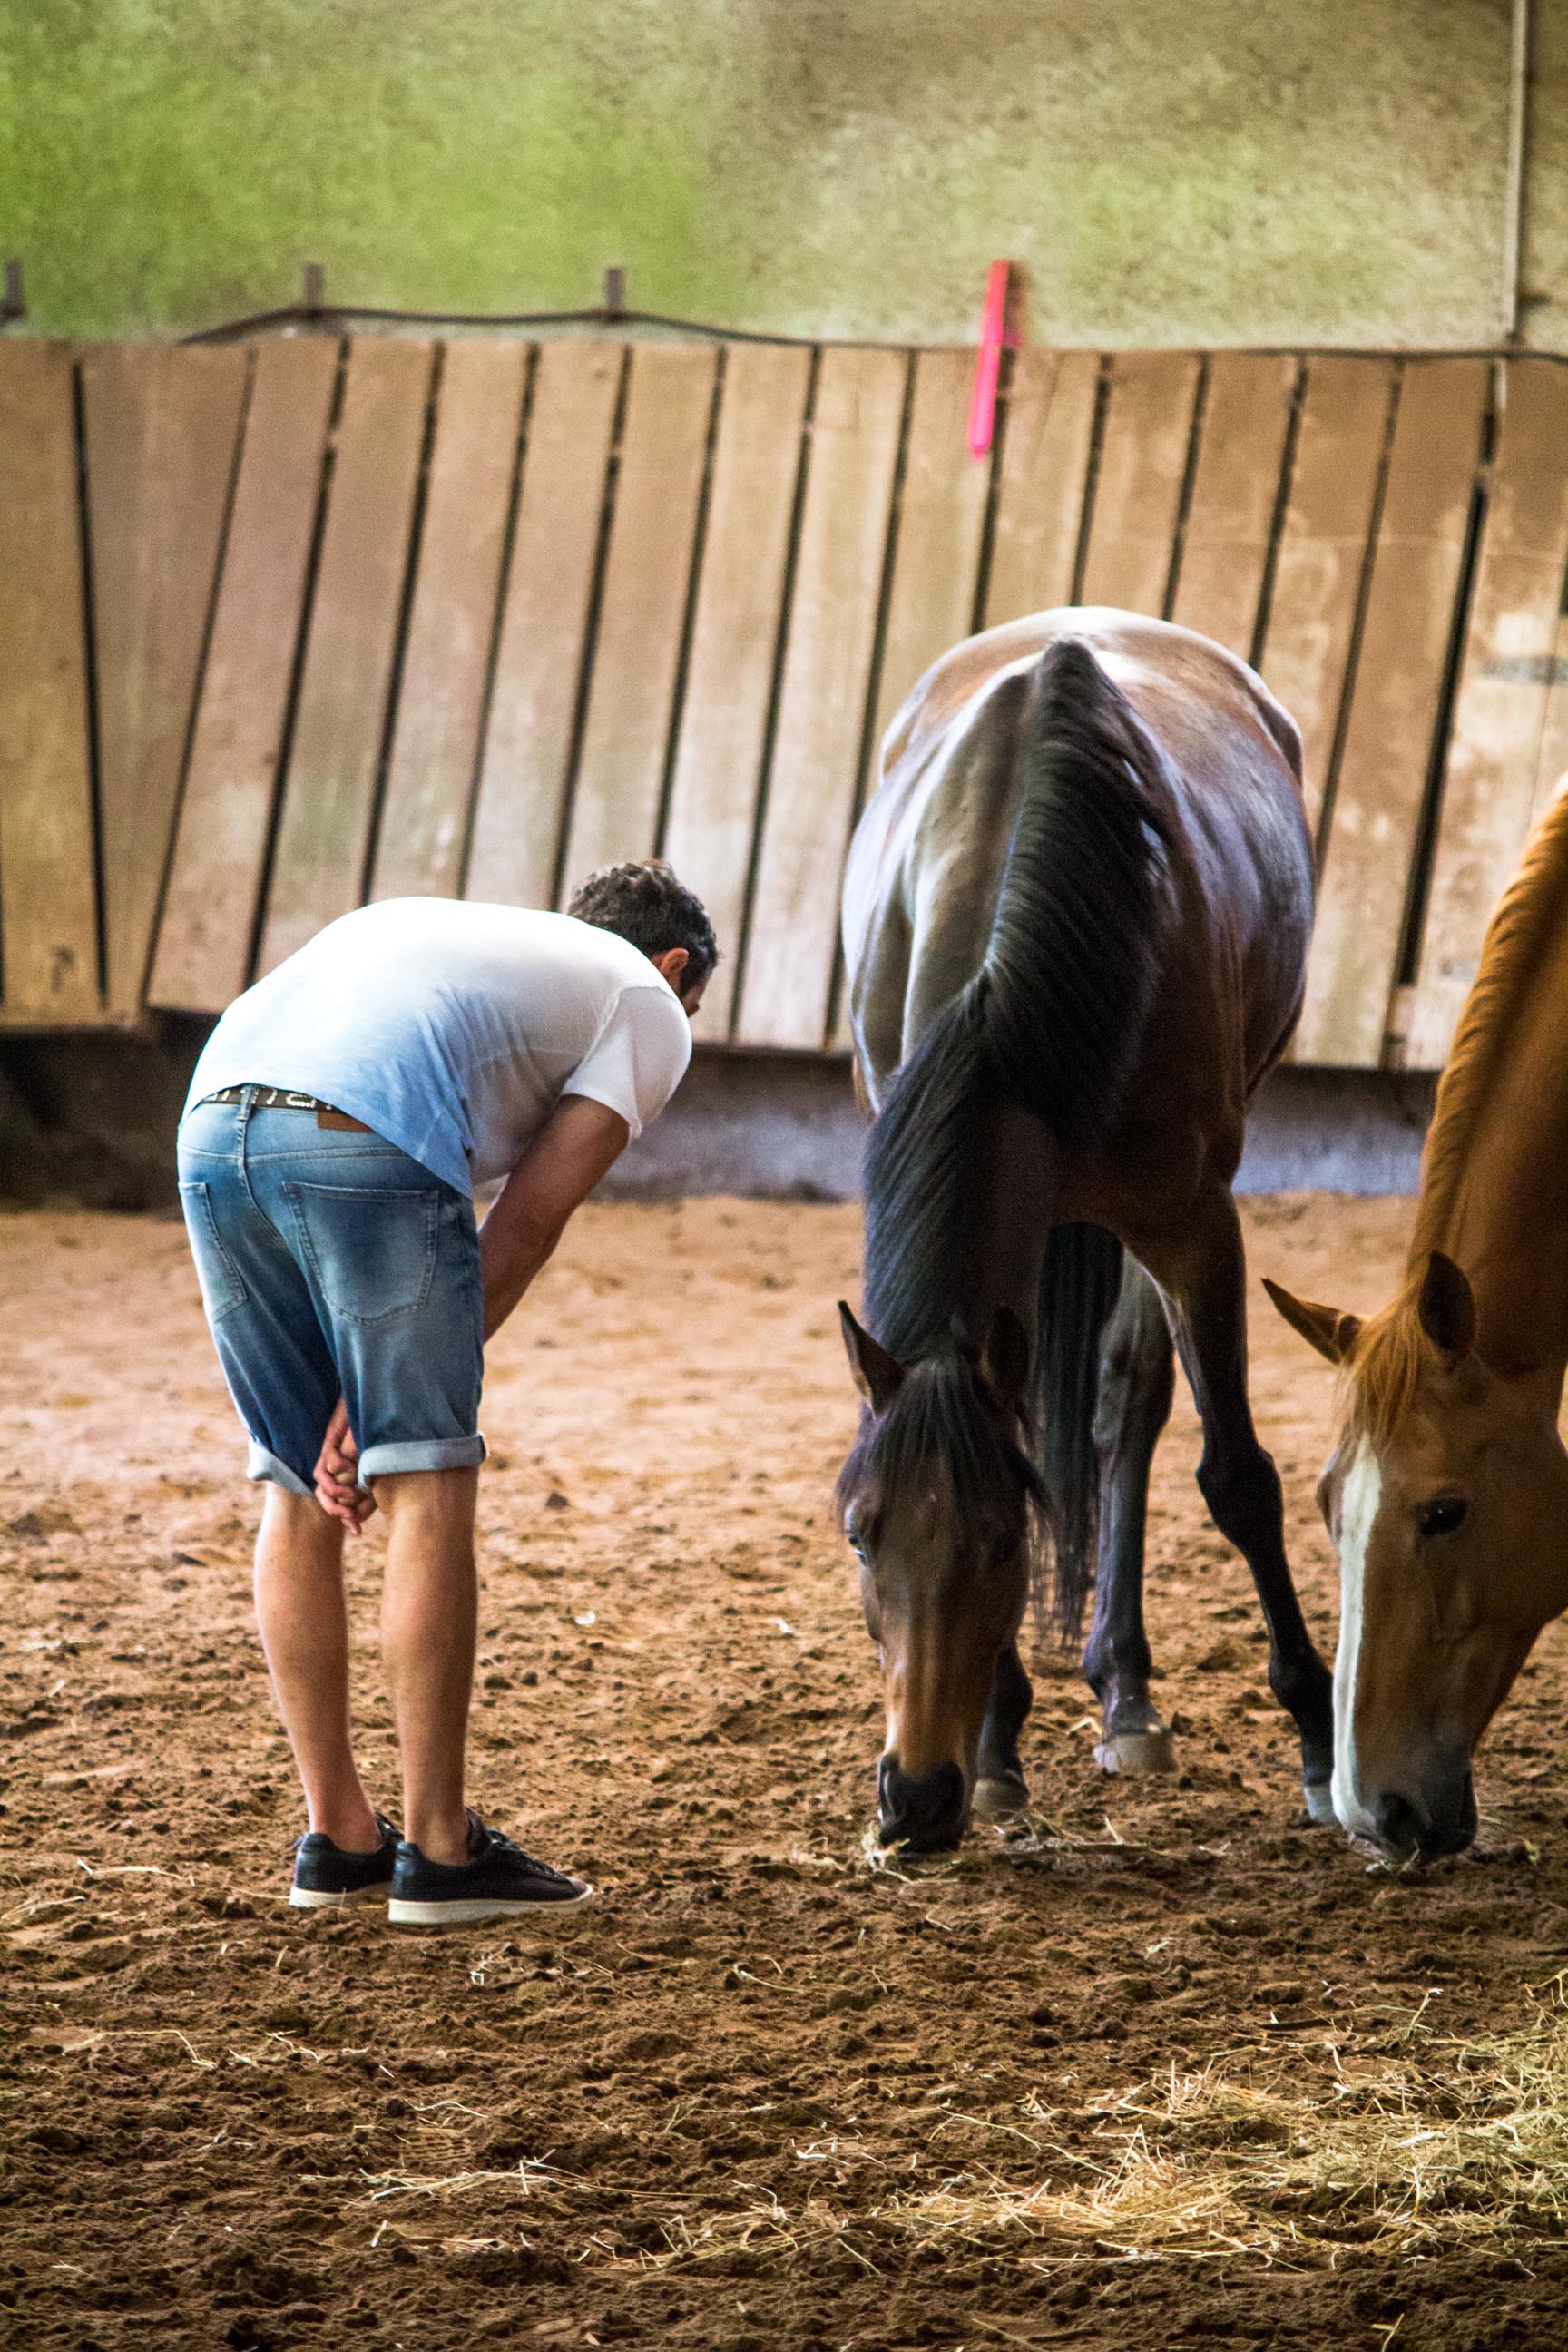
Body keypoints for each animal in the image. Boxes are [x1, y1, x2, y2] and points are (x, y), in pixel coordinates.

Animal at [836, 608, 1333, 1851]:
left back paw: (1129, 1690)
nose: (914, 1798)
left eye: (1005, 1542)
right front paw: (999, 1747)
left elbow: (1237, 1476)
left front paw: (1319, 1734)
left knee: (1130, 1406)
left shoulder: (1194, 1224)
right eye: (862, 1534)